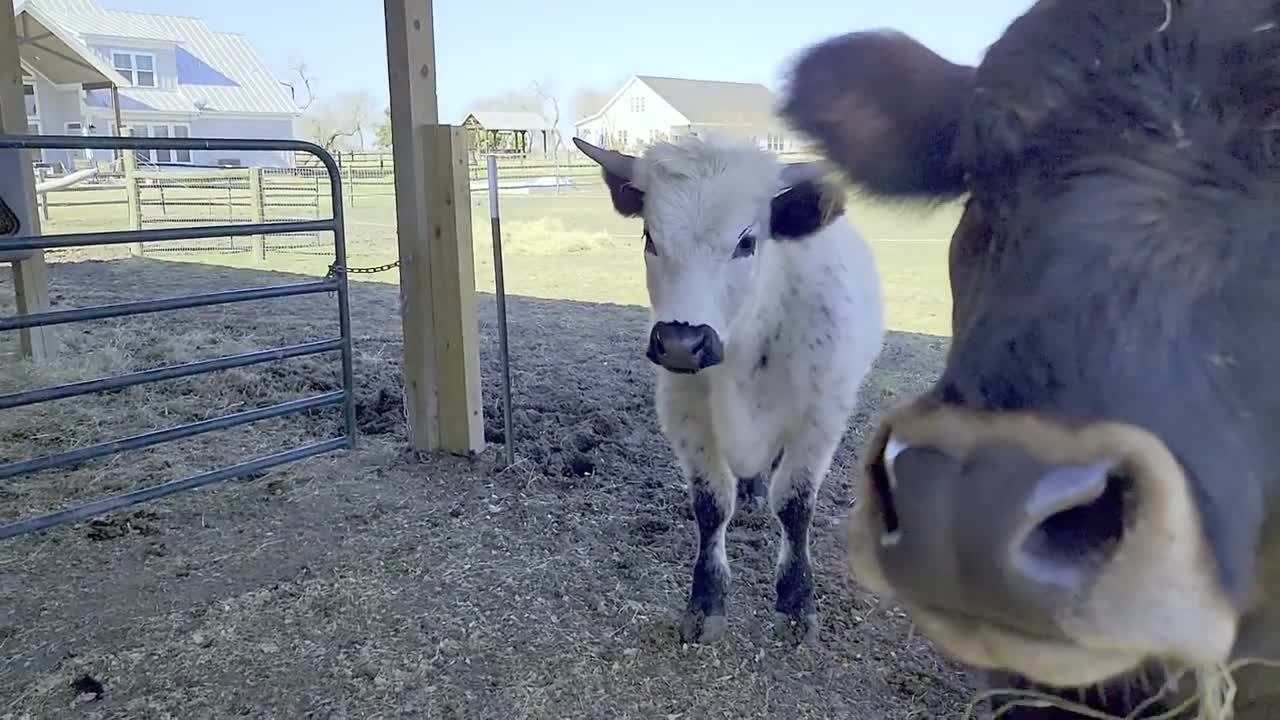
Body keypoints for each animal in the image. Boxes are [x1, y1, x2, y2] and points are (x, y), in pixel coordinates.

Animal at [576, 131, 885, 640]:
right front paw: (706, 602)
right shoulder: (685, 413)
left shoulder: (820, 419)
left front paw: (796, 602)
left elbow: (795, 505)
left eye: (746, 241)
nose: (681, 343)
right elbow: (711, 504)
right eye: (650, 237)